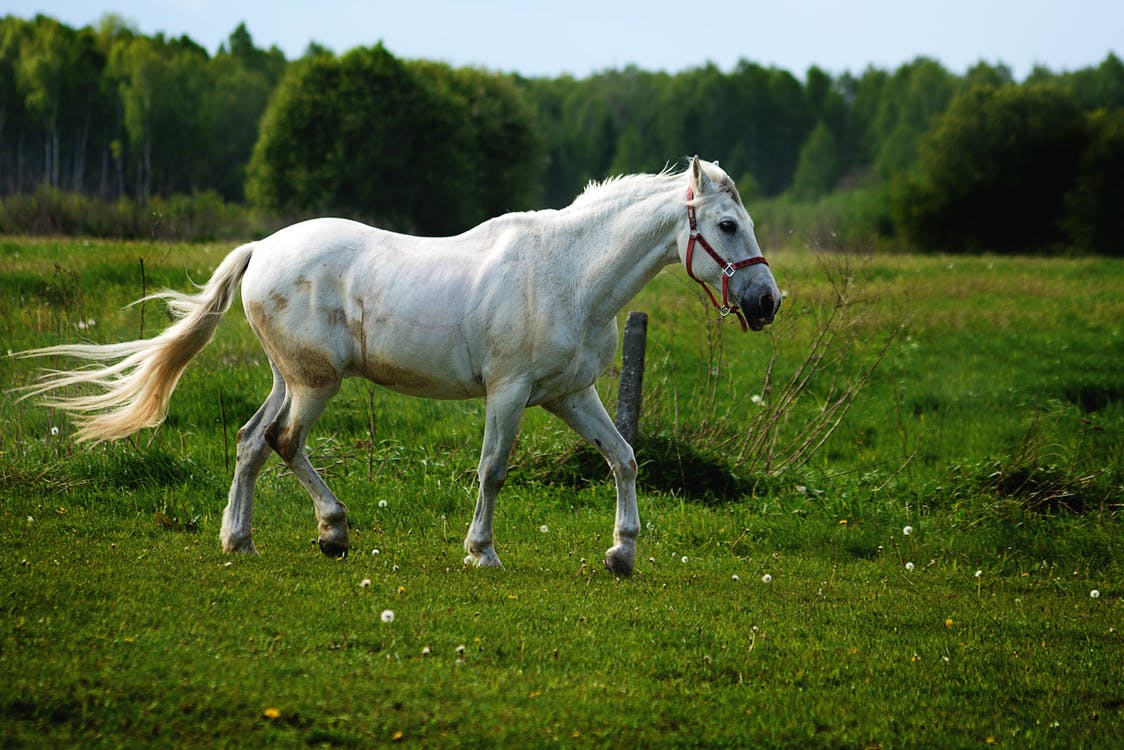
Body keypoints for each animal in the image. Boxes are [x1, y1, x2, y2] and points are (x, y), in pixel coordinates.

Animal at [16, 157, 780, 575]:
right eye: (727, 225)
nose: (767, 303)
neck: (569, 272)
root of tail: (262, 249)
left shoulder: (571, 394)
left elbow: (622, 458)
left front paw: (622, 554)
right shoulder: (509, 393)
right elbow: (492, 470)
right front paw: (481, 552)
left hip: (290, 377)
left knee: (251, 441)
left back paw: (242, 539)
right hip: (316, 383)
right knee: (282, 441)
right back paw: (331, 530)